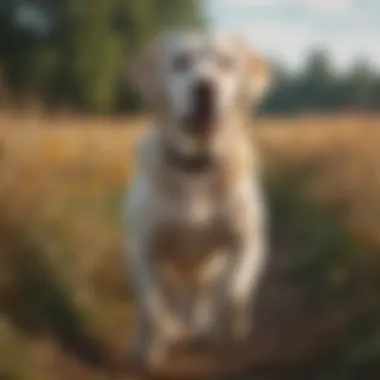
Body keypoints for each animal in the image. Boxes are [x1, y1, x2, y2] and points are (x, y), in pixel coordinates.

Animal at [126, 30, 272, 368]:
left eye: (226, 63)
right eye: (180, 62)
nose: (205, 88)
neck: (197, 167)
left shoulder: (249, 242)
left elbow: (233, 294)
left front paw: (230, 327)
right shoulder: (143, 248)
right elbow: (152, 308)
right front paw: (153, 346)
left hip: (210, 265)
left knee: (205, 291)